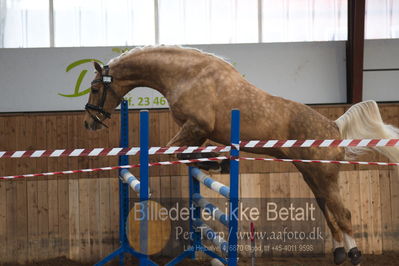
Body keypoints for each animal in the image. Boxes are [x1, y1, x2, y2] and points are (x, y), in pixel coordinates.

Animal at [84, 45, 399, 264]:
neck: (186, 75)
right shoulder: (197, 133)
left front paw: (220, 164)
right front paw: (217, 164)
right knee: (327, 208)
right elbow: (186, 157)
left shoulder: (196, 126)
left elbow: (177, 155)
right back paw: (338, 252)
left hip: (323, 173)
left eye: (96, 88)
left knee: (342, 212)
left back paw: (354, 254)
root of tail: (333, 125)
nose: (89, 123)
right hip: (309, 172)